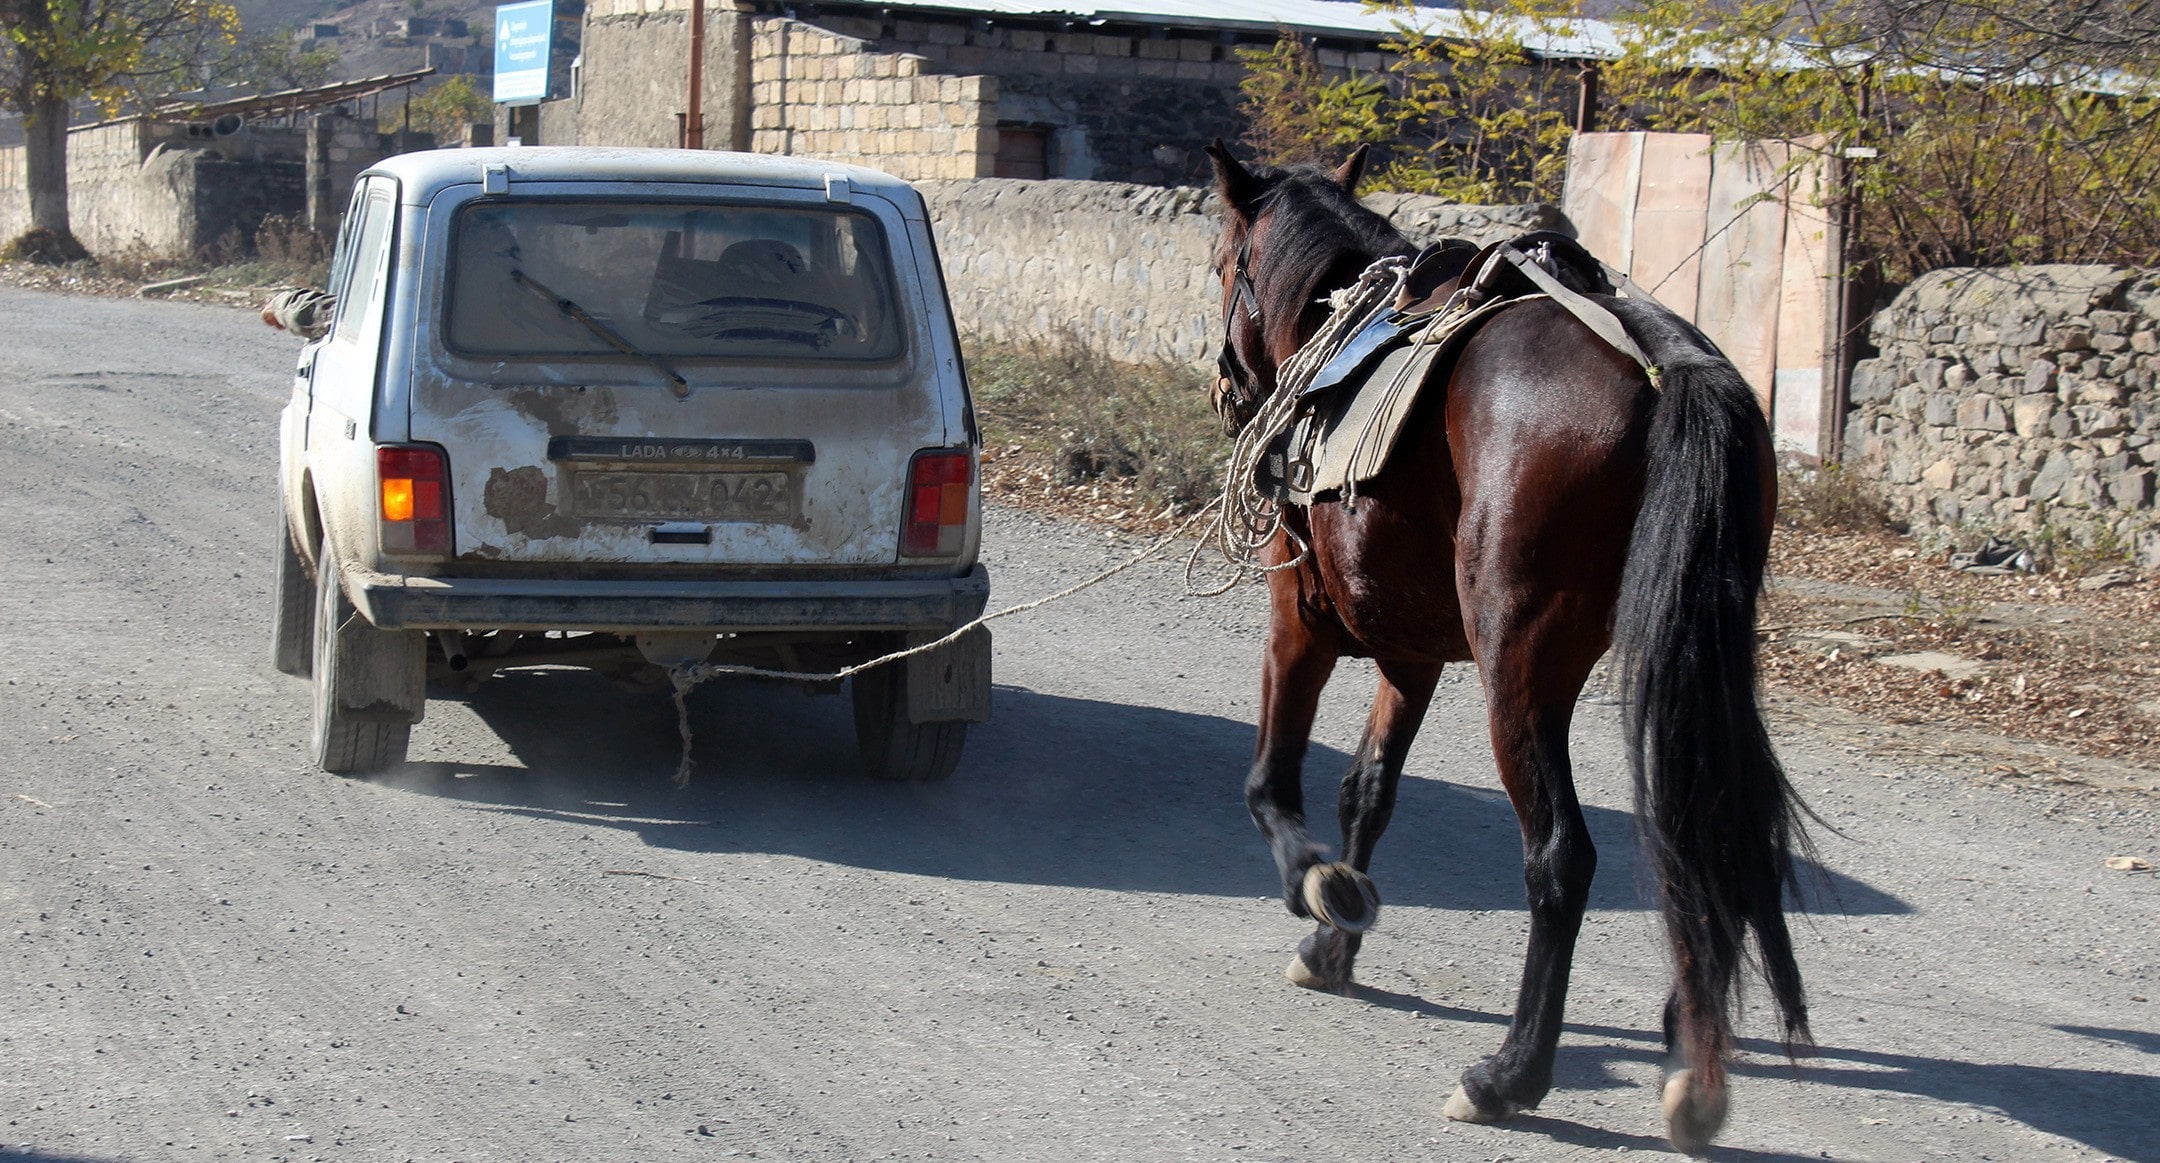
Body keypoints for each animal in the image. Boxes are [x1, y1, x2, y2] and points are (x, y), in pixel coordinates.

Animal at [1209, 142, 1814, 1150]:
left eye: (1224, 262)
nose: (1226, 383)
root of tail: (1663, 363)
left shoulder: (1300, 616)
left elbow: (1271, 781)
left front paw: (1320, 887)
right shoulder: (1410, 656)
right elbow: (1368, 790)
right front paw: (1334, 945)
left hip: (1521, 674)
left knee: (1562, 858)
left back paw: (1510, 1073)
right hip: (1689, 660)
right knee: (1701, 829)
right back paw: (1690, 1052)